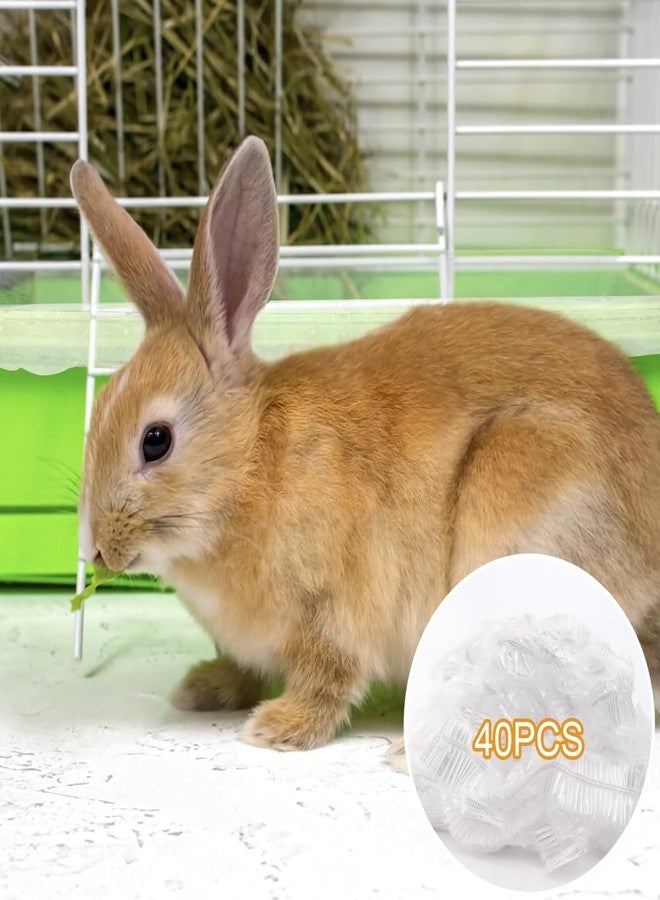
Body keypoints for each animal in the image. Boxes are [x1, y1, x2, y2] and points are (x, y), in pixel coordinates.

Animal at [70, 136, 660, 753]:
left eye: (155, 442)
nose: (95, 551)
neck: (252, 461)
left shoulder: (331, 615)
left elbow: (329, 678)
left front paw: (277, 728)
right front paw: (202, 688)